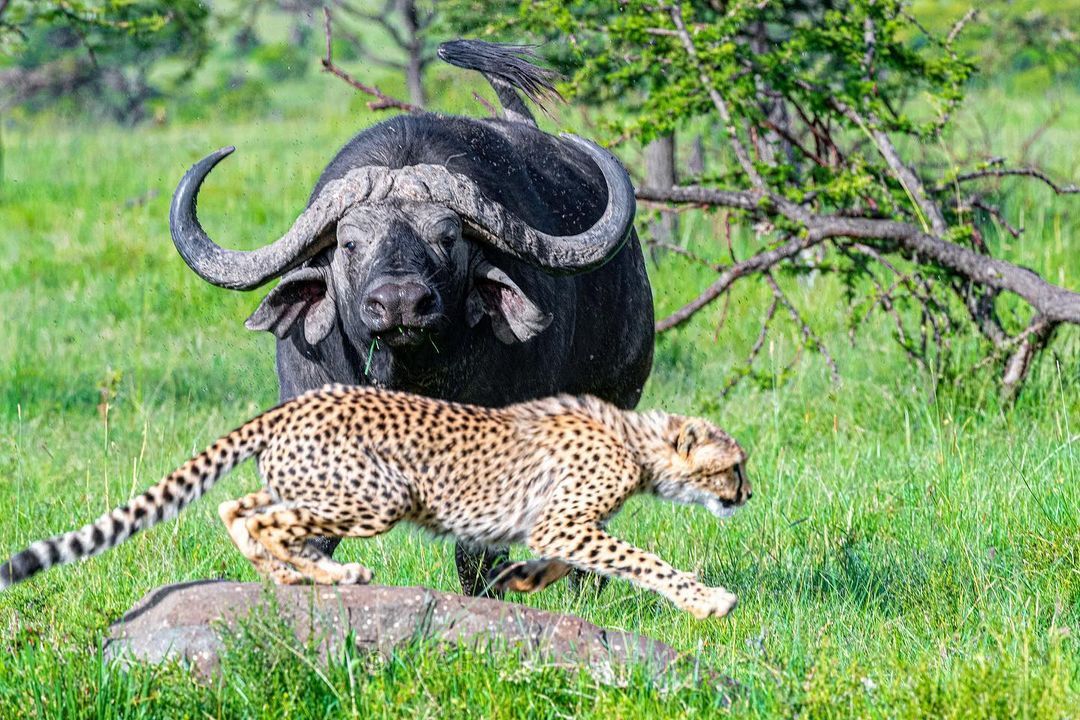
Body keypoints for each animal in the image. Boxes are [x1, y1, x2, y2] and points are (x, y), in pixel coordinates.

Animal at [0, 386, 751, 617]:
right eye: (734, 466)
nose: (749, 492)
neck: (638, 443)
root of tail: (299, 399)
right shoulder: (566, 520)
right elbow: (641, 560)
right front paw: (708, 601)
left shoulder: (560, 526)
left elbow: (566, 561)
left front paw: (516, 579)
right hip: (379, 493)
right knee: (261, 519)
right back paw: (331, 574)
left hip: (310, 481)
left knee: (238, 511)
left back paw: (292, 578)